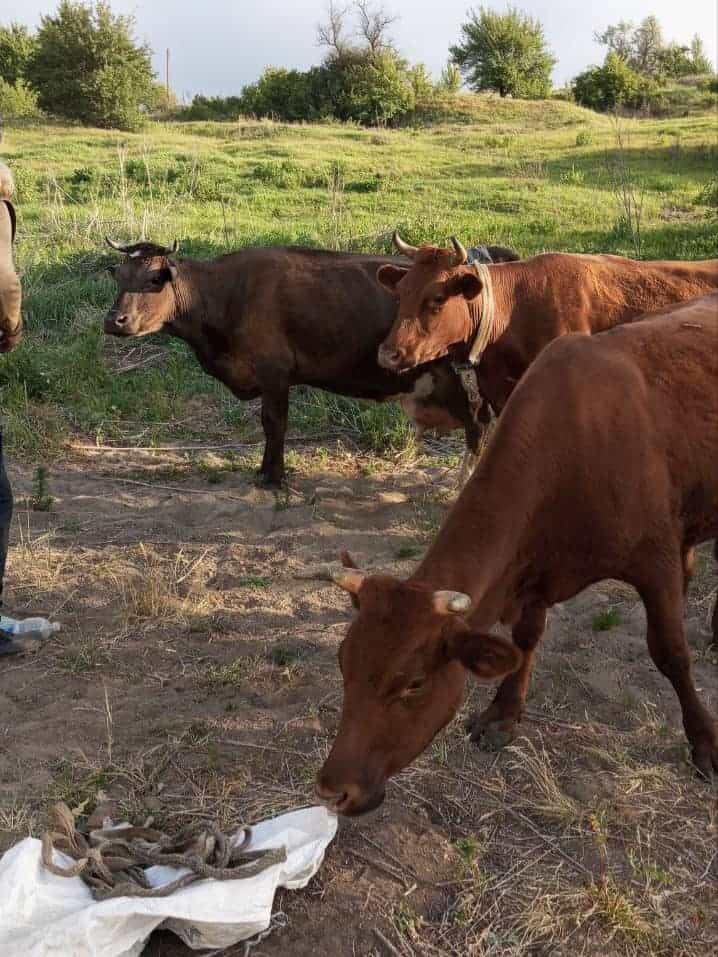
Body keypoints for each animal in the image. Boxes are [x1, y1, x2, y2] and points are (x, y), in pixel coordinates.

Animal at [102, 239, 516, 486]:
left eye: (154, 278)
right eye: (120, 276)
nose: (114, 321)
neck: (225, 294)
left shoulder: (274, 373)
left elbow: (274, 425)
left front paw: (272, 477)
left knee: (479, 429)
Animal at [314, 296, 718, 816]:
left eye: (414, 683)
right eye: (343, 663)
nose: (333, 790)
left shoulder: (656, 559)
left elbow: (671, 654)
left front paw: (704, 741)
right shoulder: (533, 569)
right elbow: (525, 638)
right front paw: (503, 713)